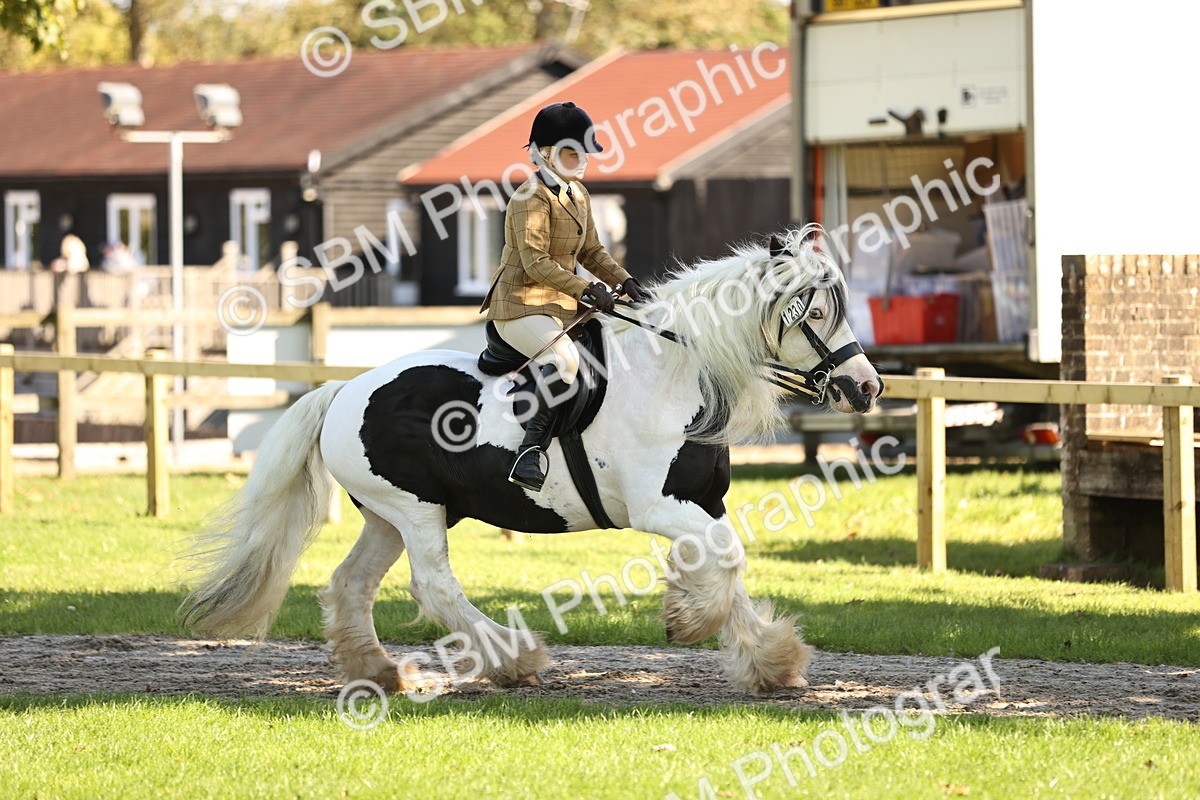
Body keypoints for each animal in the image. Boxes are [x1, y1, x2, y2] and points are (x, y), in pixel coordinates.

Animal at [181, 225, 884, 696]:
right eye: (816, 311)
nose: (867, 387)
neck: (672, 374)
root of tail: (342, 391)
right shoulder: (659, 508)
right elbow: (728, 559)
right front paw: (690, 621)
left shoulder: (703, 504)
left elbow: (728, 563)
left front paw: (768, 660)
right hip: (416, 510)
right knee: (432, 584)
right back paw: (513, 660)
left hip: (387, 515)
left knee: (351, 582)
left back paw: (380, 672)